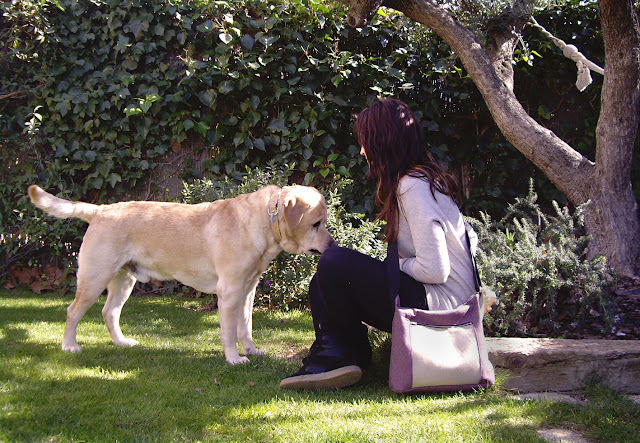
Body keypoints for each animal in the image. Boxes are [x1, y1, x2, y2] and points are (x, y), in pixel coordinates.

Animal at [27, 184, 338, 364]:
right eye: (316, 223)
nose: (333, 246)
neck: (264, 220)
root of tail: (101, 210)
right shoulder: (230, 291)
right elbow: (229, 331)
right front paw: (234, 358)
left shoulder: (248, 290)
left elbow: (245, 327)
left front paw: (250, 350)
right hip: (95, 276)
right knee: (73, 311)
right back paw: (69, 346)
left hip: (124, 280)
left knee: (109, 312)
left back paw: (121, 342)